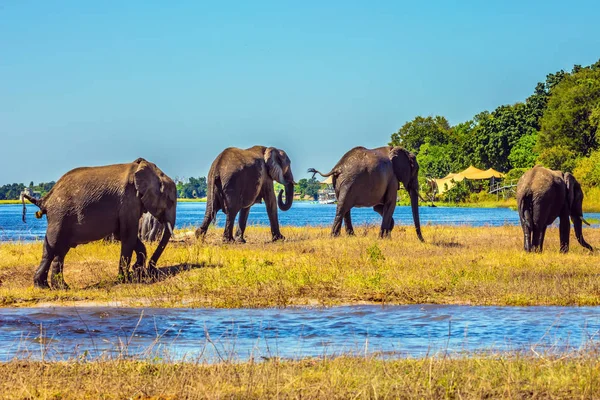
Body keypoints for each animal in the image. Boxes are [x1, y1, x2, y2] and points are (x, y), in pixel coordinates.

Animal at [21, 158, 176, 290]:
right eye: (171, 201)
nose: (150, 270)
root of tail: (45, 199)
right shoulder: (128, 201)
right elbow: (128, 236)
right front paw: (124, 279)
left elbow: (123, 235)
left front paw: (135, 271)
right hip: (59, 216)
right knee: (53, 248)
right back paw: (47, 287)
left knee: (58, 251)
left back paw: (56, 287)